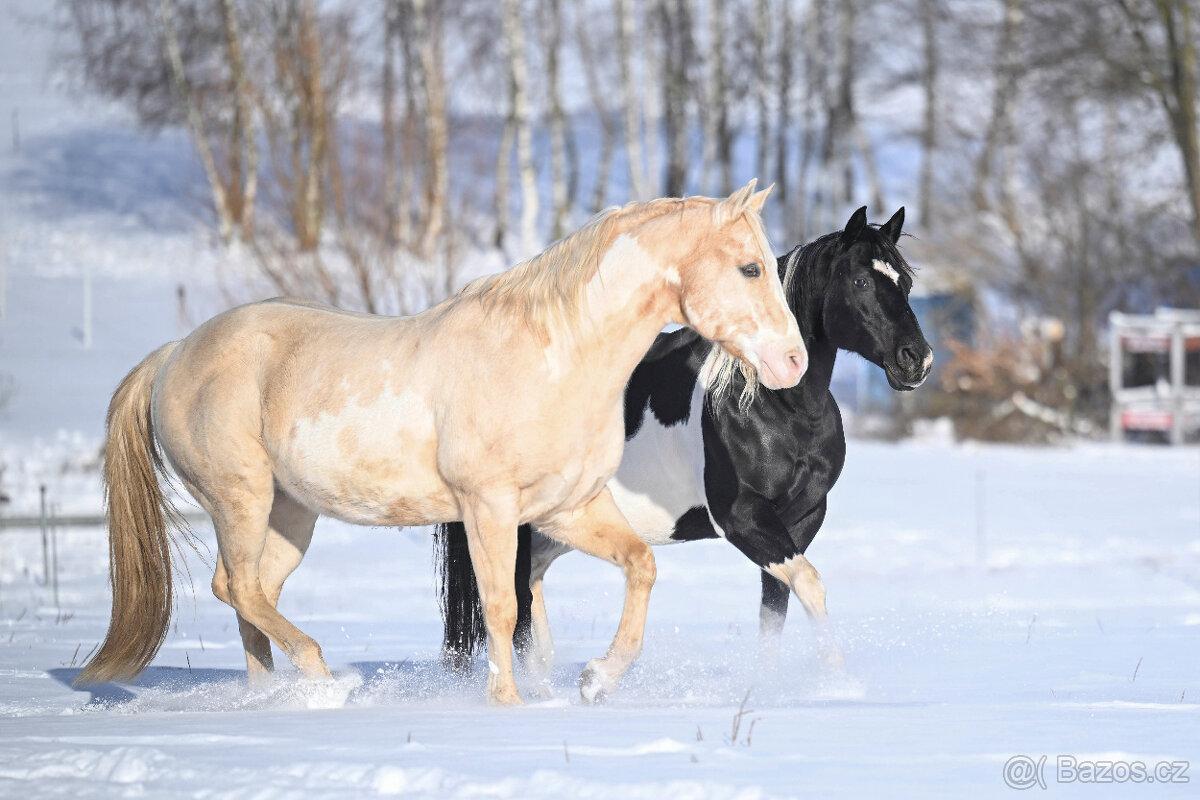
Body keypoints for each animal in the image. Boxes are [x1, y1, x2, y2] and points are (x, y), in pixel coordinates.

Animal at [76, 181, 808, 705]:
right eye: (749, 268)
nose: (793, 363)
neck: (555, 357)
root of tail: (175, 354)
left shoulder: (568, 507)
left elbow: (639, 566)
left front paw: (597, 679)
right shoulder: (488, 507)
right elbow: (503, 607)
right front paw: (508, 702)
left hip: (288, 515)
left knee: (250, 594)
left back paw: (277, 697)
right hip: (241, 498)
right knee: (237, 589)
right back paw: (326, 678)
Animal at [435, 206, 932, 684]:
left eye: (906, 282)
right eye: (861, 280)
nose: (916, 360)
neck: (776, 406)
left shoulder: (801, 519)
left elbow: (777, 605)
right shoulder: (741, 517)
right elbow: (809, 583)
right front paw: (838, 681)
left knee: (533, 585)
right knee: (516, 601)